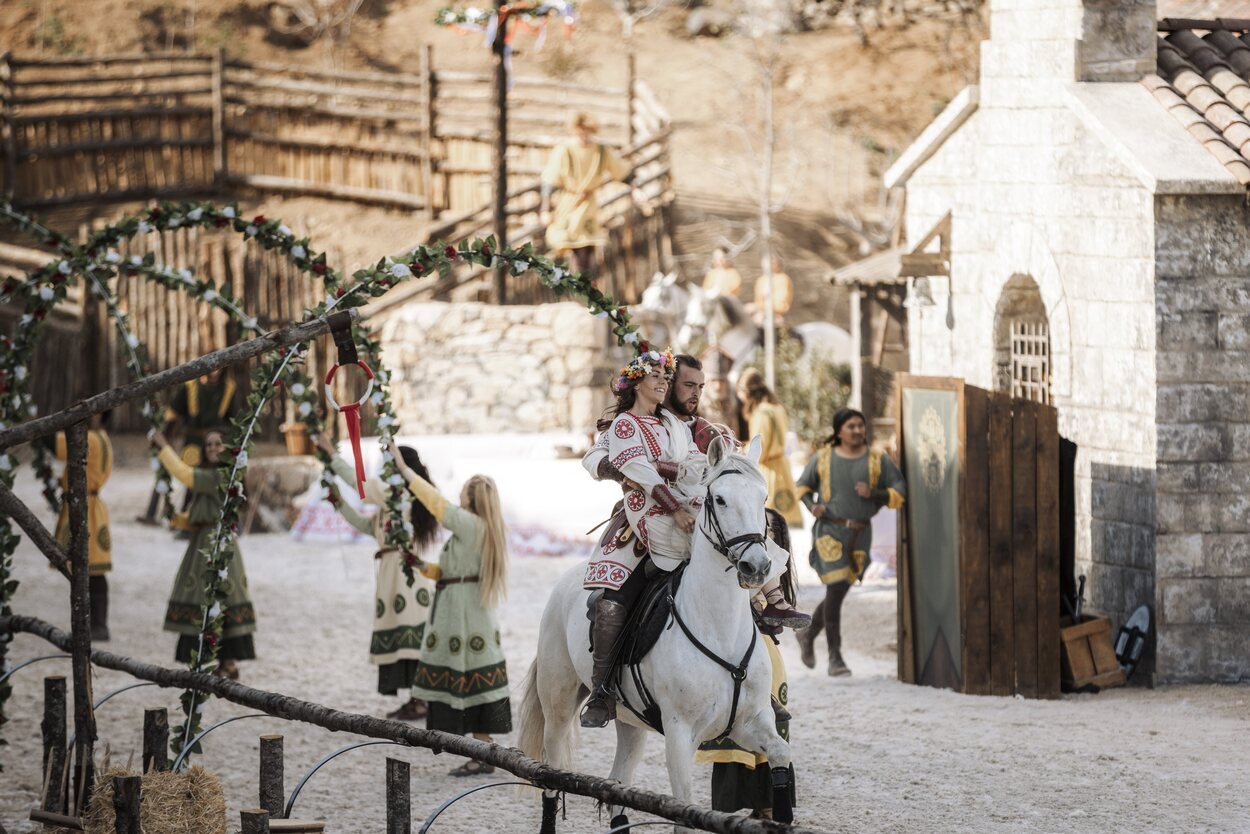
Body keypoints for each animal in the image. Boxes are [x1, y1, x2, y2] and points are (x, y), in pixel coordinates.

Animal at [515, 440, 790, 830]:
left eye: (762, 496)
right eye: (719, 499)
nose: (757, 566)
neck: (719, 629)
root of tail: (565, 583)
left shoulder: (749, 722)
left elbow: (781, 752)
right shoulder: (680, 733)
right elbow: (684, 809)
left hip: (630, 722)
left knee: (617, 786)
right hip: (558, 705)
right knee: (551, 776)